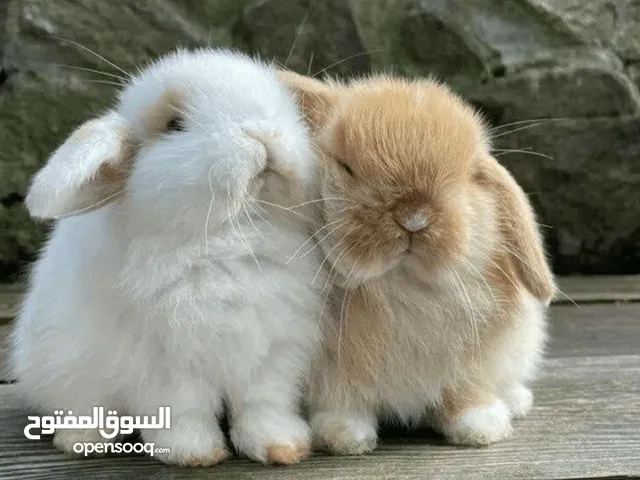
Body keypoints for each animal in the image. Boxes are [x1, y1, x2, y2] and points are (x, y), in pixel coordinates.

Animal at [10, 48, 327, 467]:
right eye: (174, 124)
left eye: (284, 102)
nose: (261, 132)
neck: (229, 239)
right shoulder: (166, 365)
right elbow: (183, 411)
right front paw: (195, 454)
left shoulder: (274, 353)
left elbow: (263, 406)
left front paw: (284, 448)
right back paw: (81, 439)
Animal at [278, 71, 556, 455]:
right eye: (346, 167)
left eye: (470, 176)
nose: (414, 218)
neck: (401, 286)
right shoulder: (332, 371)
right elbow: (343, 399)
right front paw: (343, 436)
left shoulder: (475, 360)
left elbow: (465, 390)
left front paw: (482, 426)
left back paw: (515, 401)